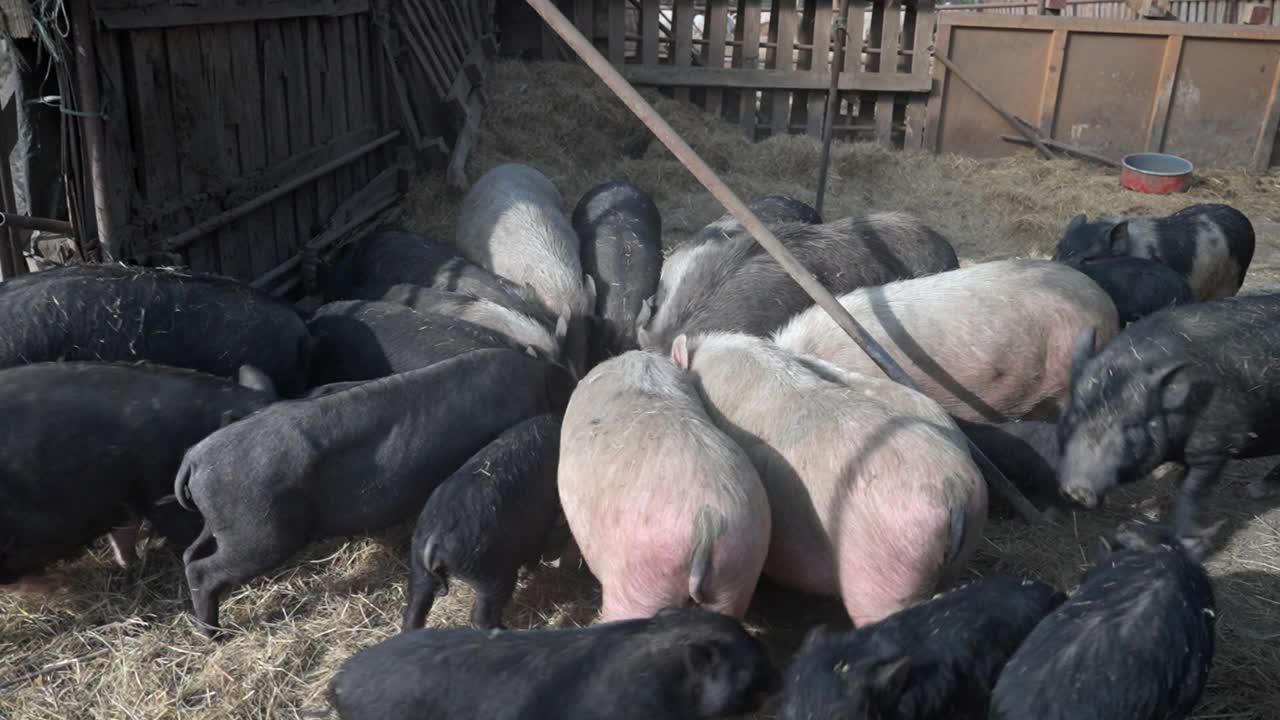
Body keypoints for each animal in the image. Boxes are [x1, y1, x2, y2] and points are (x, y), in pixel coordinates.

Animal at [404, 414, 562, 632]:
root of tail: (434, 538)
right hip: (489, 572)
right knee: (482, 615)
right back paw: (504, 630)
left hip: (419, 568)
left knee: (414, 608)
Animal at [1056, 293, 1280, 553]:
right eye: (1074, 415)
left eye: (1131, 426)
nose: (1076, 490)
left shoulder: (1219, 442)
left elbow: (1190, 489)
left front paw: (1191, 546)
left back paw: (1255, 490)